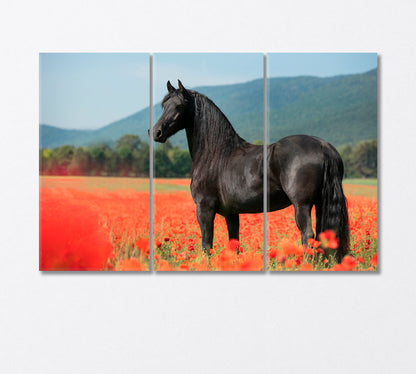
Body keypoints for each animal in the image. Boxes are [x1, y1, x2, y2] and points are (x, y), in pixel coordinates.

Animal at [153, 80, 348, 262]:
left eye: (179, 106)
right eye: (164, 105)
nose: (156, 132)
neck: (216, 154)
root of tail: (323, 145)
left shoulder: (204, 208)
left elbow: (207, 244)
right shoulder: (231, 213)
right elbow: (234, 243)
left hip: (302, 205)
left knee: (307, 236)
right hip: (320, 203)